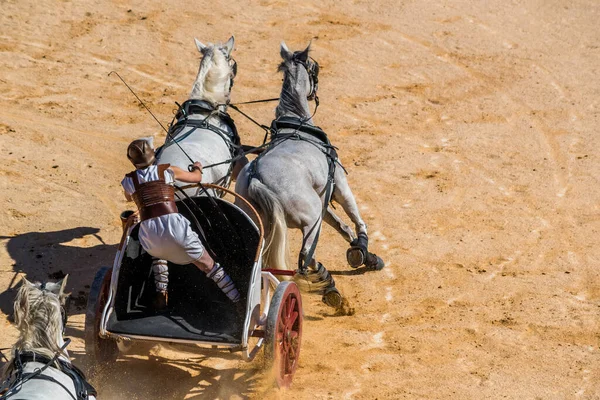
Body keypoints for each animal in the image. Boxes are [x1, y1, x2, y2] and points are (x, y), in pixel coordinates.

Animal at [236, 43, 384, 312]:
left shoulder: (324, 198)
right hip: (311, 218)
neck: (296, 124)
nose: (315, 90)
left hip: (264, 223)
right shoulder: (339, 186)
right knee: (305, 256)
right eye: (315, 69)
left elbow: (343, 226)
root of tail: (256, 177)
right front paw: (364, 251)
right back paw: (329, 288)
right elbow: (356, 219)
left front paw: (366, 256)